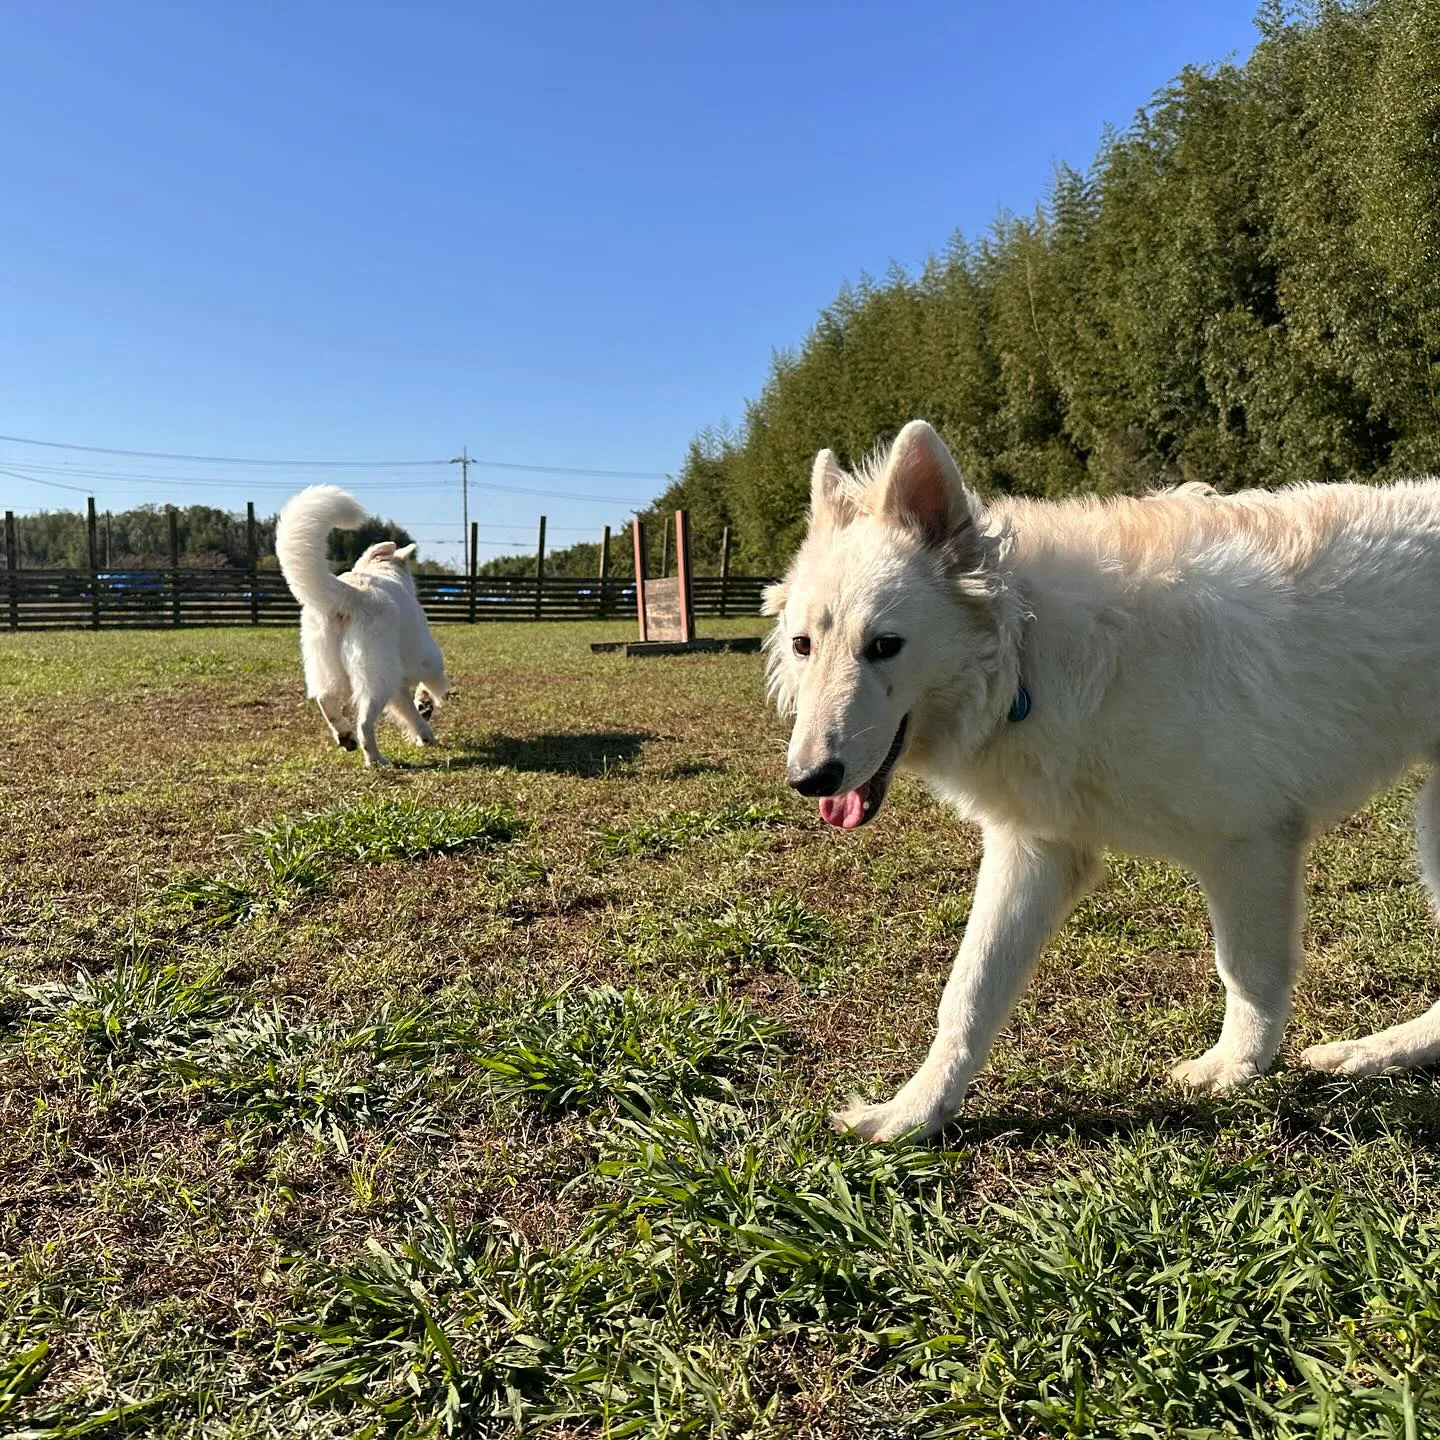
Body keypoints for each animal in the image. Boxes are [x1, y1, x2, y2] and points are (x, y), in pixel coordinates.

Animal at [272, 483, 446, 771]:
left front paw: (423, 731)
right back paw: (375, 758)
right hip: (375, 679)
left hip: (327, 666)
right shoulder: (424, 656)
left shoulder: (398, 682)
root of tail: (351, 594)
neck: (382, 569)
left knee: (325, 699)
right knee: (364, 723)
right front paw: (426, 703)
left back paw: (345, 736)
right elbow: (434, 680)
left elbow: (408, 710)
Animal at [771, 420, 1440, 1140]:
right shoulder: (1035, 852)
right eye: (804, 645)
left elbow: (1247, 975)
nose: (809, 779)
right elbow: (969, 994)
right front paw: (915, 1113)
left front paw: (1236, 1070)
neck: (1027, 651)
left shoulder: (1249, 845)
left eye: (884, 646)